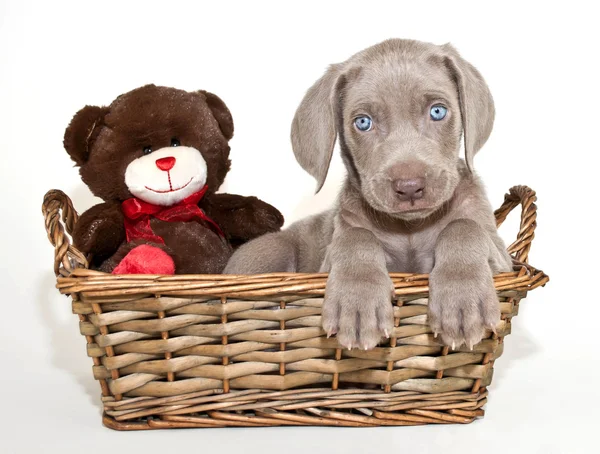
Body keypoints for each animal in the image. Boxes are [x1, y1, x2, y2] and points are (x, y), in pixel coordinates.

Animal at [225, 39, 510, 352]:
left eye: (437, 111)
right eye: (363, 122)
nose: (409, 186)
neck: (408, 230)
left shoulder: (503, 260)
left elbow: (463, 226)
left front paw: (462, 302)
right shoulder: (328, 260)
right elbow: (357, 236)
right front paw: (357, 305)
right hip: (269, 251)